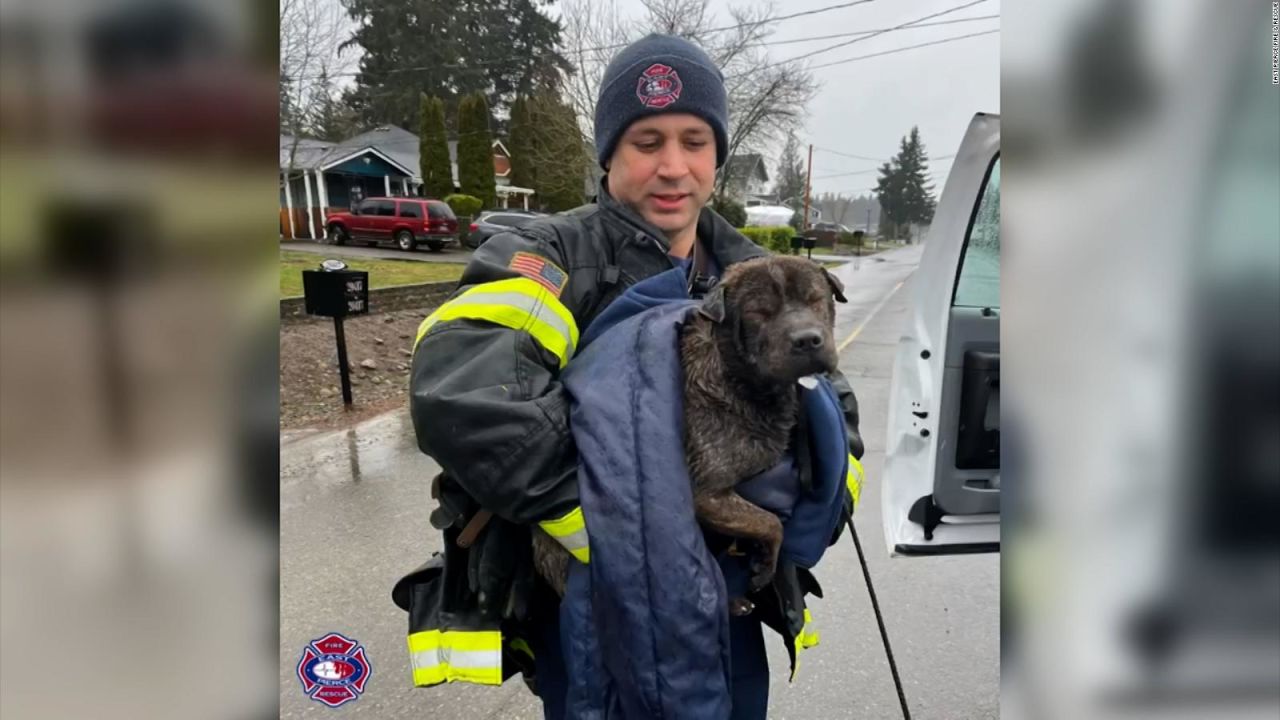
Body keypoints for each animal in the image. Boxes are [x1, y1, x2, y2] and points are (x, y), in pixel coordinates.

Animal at [532, 254, 844, 597]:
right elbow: (770, 522)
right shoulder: (708, 494)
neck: (737, 379)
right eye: (759, 312)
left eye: (815, 300)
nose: (807, 340)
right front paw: (766, 563)